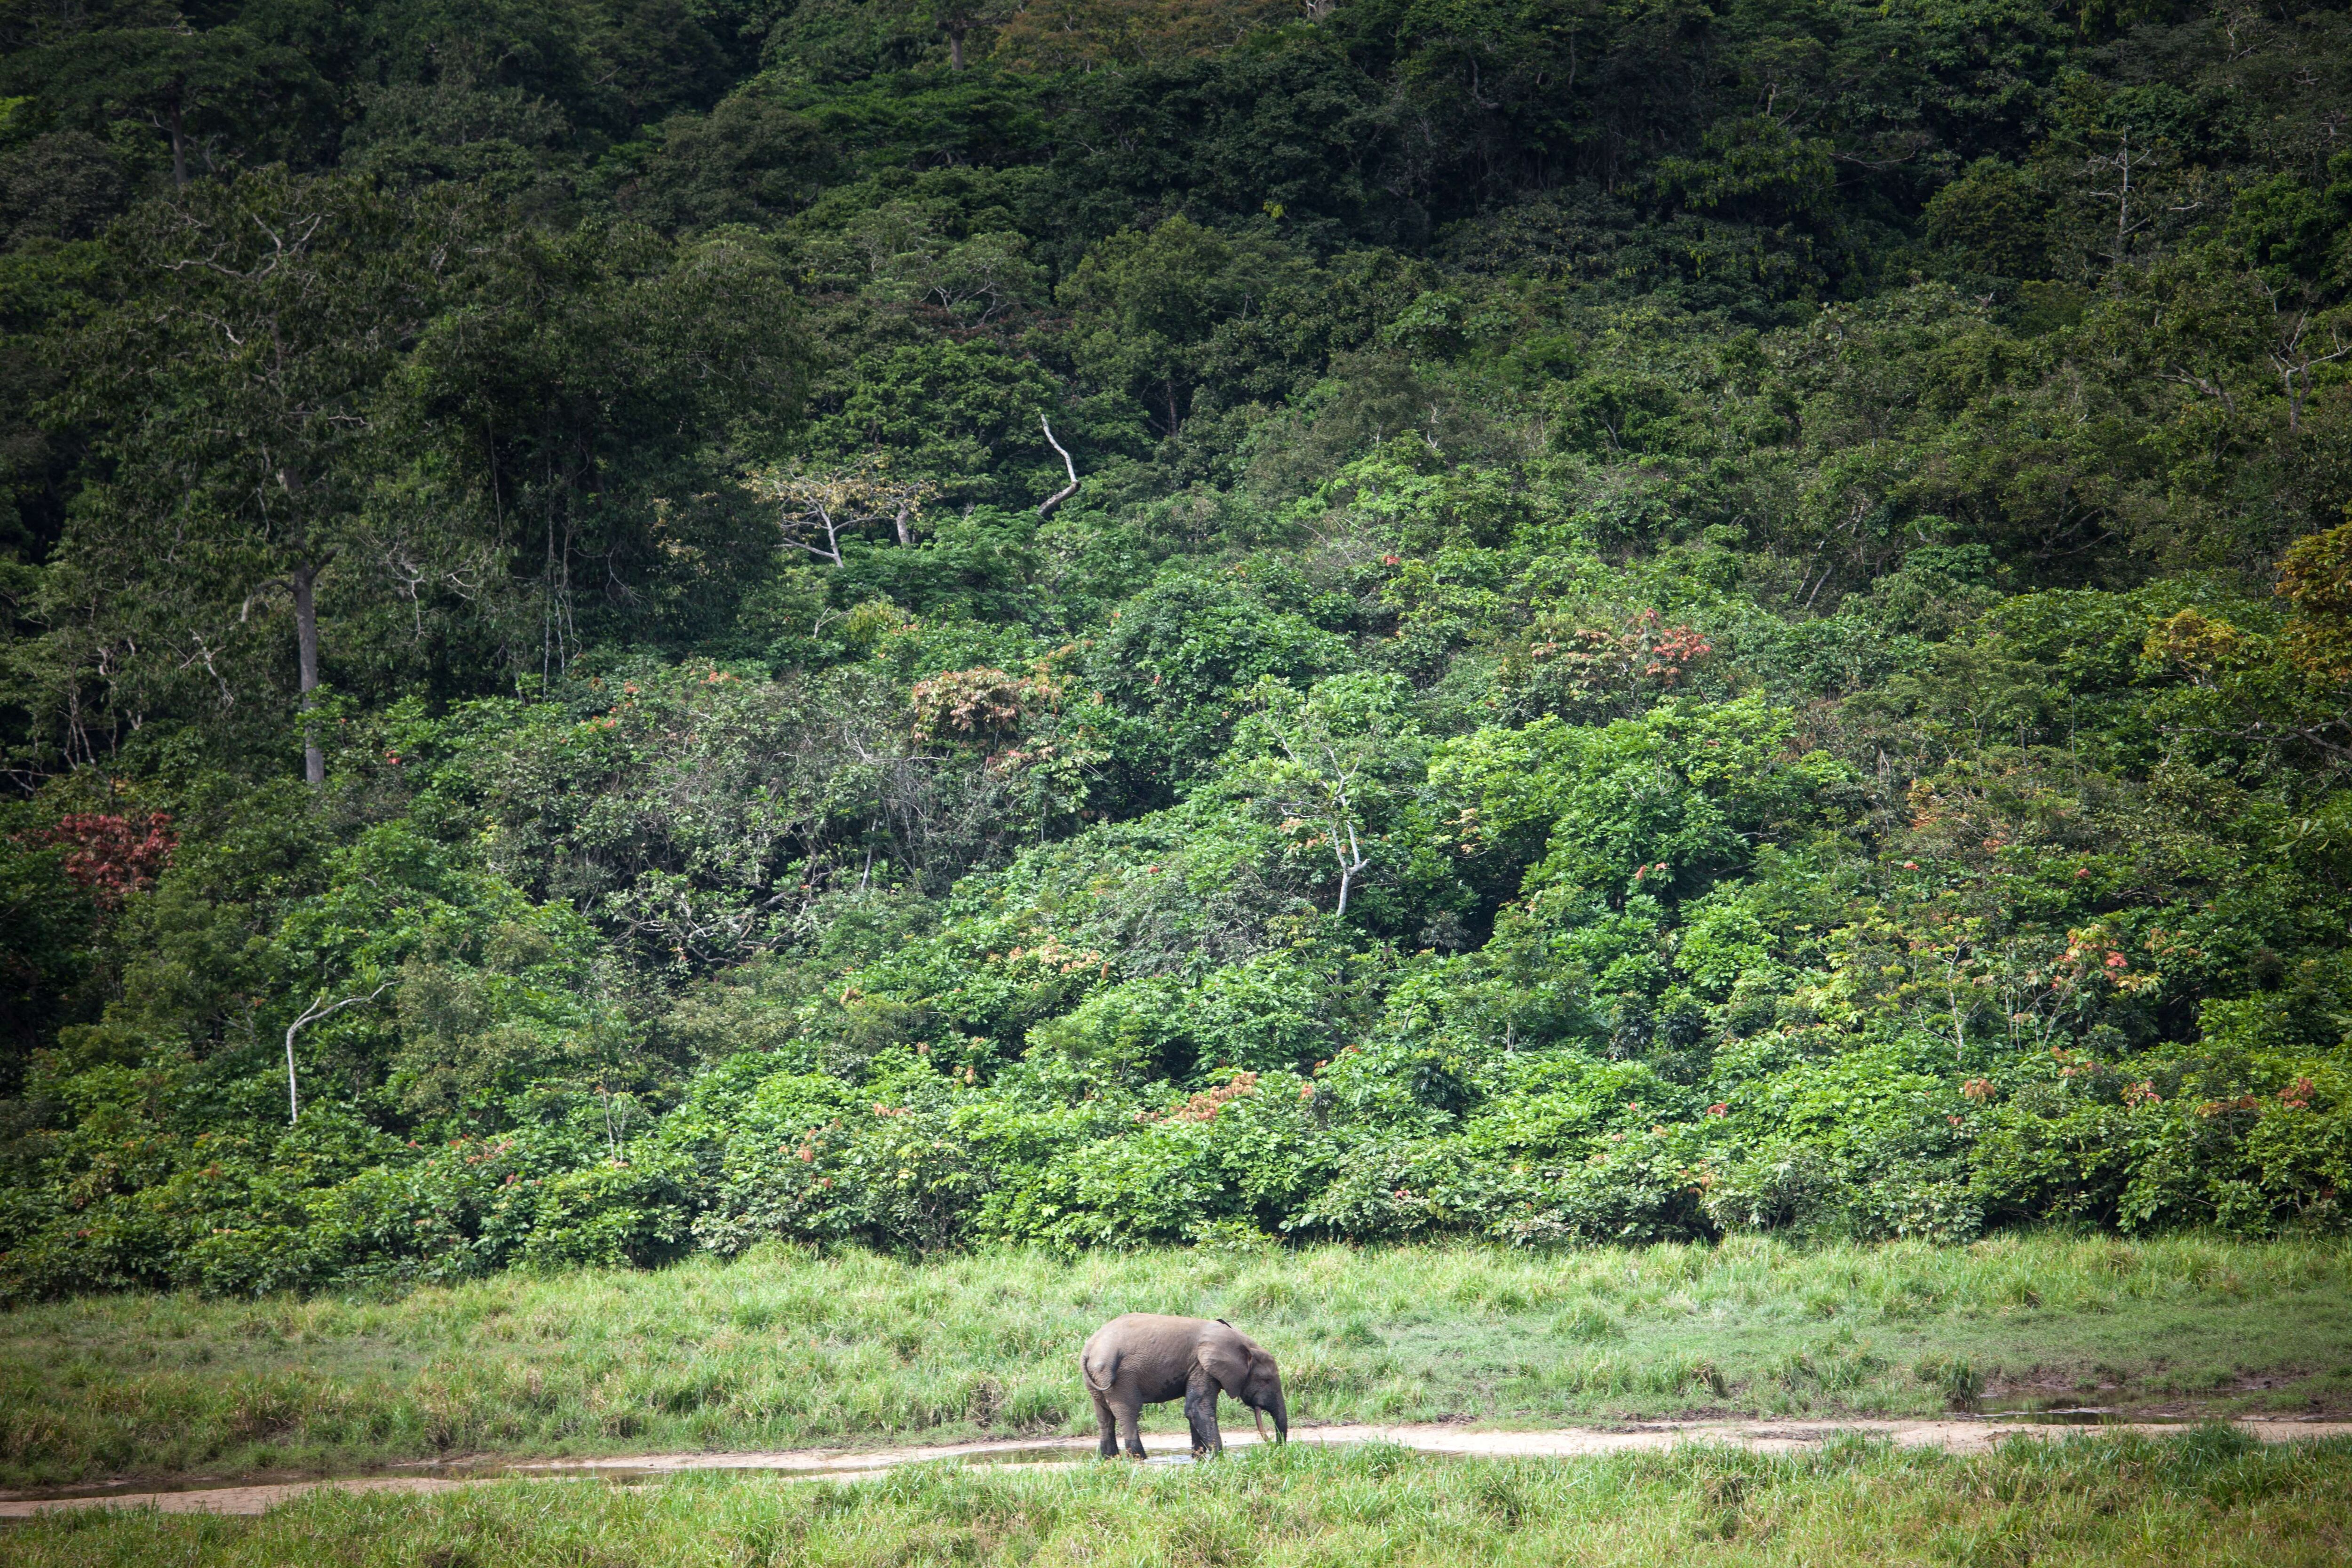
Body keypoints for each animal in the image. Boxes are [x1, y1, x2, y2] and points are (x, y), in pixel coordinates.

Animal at [1080, 1312, 1288, 1459]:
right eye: (1266, 1380)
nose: (1276, 1447)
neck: (1242, 1343)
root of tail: (1089, 1351)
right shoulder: (1202, 1367)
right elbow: (1198, 1409)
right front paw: (1219, 1459)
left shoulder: (1198, 1367)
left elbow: (1193, 1411)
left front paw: (1198, 1458)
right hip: (1121, 1379)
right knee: (1128, 1413)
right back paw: (1139, 1459)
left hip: (1097, 1378)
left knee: (1104, 1417)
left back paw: (1110, 1459)